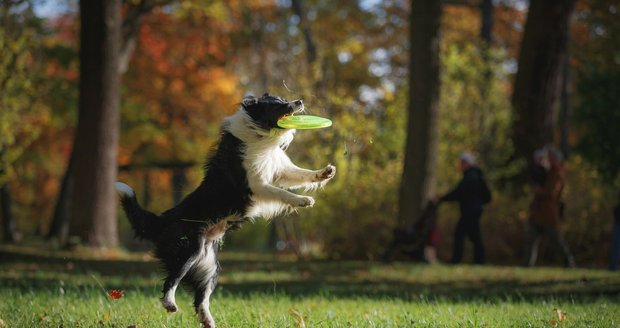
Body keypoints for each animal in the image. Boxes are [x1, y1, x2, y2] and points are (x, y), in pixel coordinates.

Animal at [114, 93, 336, 328]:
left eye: (284, 98)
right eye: (278, 104)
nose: (299, 101)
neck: (259, 134)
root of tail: (163, 219)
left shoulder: (278, 170)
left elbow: (301, 174)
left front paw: (324, 173)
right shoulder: (255, 186)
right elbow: (281, 193)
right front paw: (303, 200)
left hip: (209, 266)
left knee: (200, 298)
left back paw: (208, 321)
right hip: (187, 249)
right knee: (171, 280)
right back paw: (170, 303)